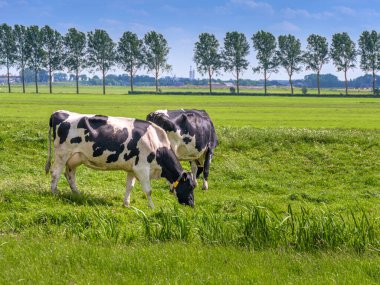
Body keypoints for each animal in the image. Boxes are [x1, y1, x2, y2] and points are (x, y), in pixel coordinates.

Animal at [44, 110, 196, 206]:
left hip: (75, 158)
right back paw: (54, 193)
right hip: (62, 154)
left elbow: (130, 186)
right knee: (55, 173)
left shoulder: (132, 169)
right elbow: (148, 190)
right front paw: (152, 207)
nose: (192, 204)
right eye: (190, 186)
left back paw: (77, 194)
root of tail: (58, 112)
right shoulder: (142, 168)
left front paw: (126, 204)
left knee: (69, 175)